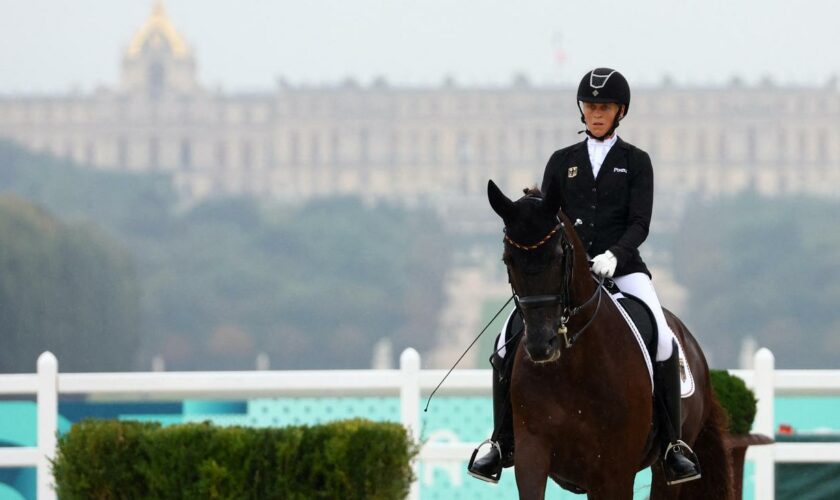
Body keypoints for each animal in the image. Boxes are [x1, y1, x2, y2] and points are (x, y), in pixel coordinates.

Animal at [486, 181, 736, 500]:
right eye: (508, 259)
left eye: (558, 256)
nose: (542, 345)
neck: (572, 367)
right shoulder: (532, 456)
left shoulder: (614, 471)